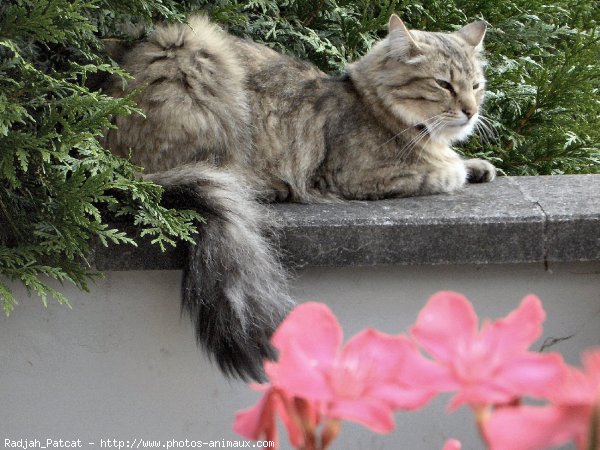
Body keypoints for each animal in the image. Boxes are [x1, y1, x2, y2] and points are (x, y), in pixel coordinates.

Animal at [102, 13, 496, 380]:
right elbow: (445, 172)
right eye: (443, 84)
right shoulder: (357, 175)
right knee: (223, 171)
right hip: (201, 63)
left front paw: (480, 165)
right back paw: (272, 188)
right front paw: (459, 168)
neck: (373, 106)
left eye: (476, 86)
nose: (471, 111)